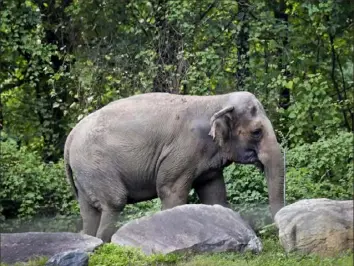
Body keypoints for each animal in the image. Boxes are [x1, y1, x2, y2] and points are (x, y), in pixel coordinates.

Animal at [63, 92, 284, 243]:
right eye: (257, 132)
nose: (272, 231)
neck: (216, 101)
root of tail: (70, 137)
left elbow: (214, 195)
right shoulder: (183, 151)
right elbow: (171, 192)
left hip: (85, 173)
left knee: (89, 211)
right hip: (96, 165)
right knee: (114, 202)